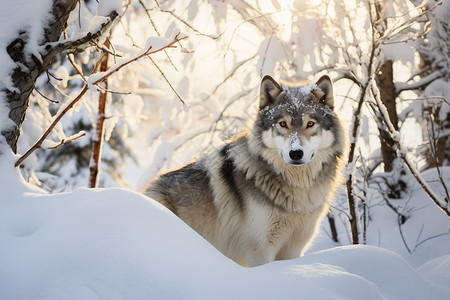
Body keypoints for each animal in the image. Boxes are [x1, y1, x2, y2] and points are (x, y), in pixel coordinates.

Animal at [144, 75, 348, 268]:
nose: (296, 153)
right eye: (283, 124)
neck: (297, 192)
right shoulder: (261, 250)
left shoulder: (293, 249)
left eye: (310, 124)